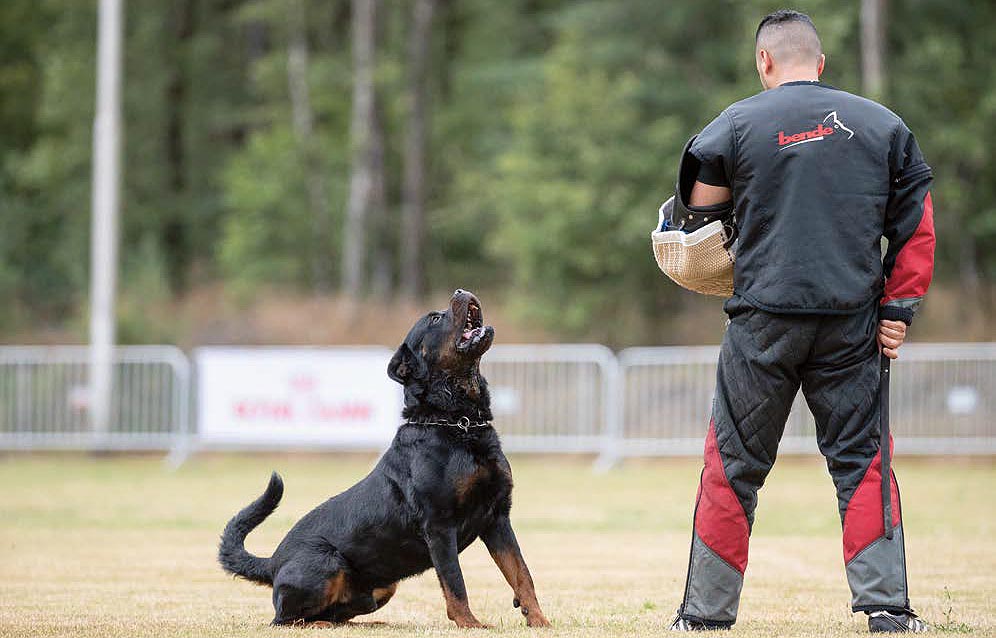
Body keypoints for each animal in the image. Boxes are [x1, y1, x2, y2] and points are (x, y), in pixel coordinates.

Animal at [216, 290, 552, 632]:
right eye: (435, 318)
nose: (460, 292)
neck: (459, 422)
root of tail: (272, 563)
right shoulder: (439, 525)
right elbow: (455, 582)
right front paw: (470, 624)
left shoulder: (497, 517)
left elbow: (522, 574)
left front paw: (539, 620)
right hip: (327, 564)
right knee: (284, 619)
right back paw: (320, 625)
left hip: (383, 587)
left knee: (336, 613)